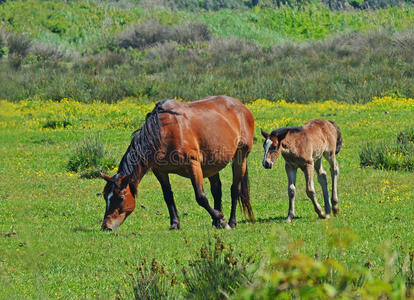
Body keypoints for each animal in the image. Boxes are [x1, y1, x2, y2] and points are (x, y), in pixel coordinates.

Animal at [100, 95, 256, 231]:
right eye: (105, 196)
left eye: (121, 197)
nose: (106, 226)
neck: (164, 132)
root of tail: (242, 107)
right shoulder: (160, 171)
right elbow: (168, 196)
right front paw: (175, 223)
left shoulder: (193, 165)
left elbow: (201, 197)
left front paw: (222, 221)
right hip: (212, 164)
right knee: (217, 190)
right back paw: (216, 222)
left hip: (241, 156)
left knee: (235, 189)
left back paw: (231, 222)